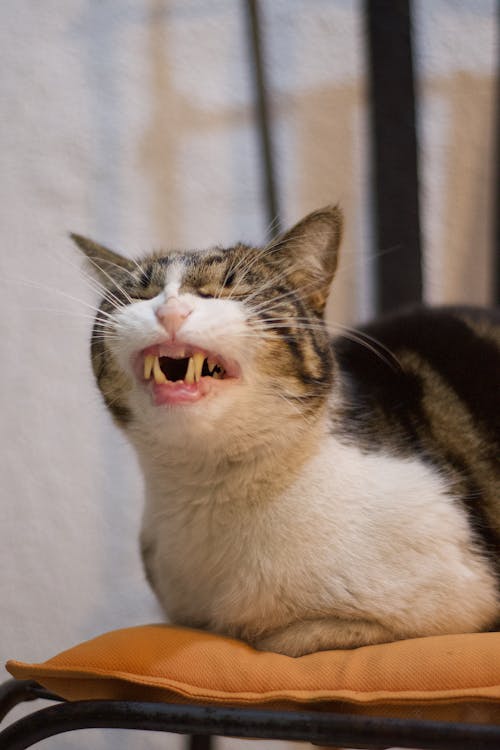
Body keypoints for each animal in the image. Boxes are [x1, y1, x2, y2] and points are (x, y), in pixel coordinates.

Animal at [71, 207, 500, 656]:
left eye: (228, 290)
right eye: (140, 296)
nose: (169, 311)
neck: (211, 489)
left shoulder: (459, 602)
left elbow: (290, 638)